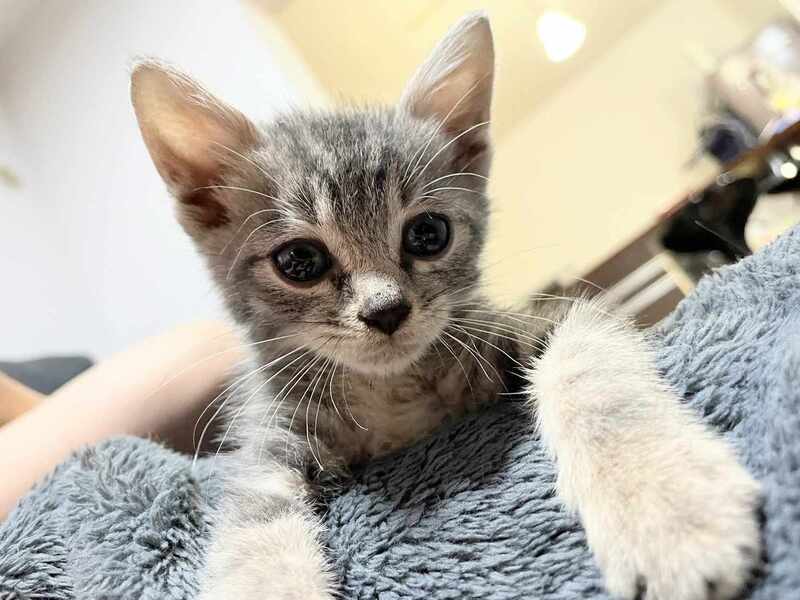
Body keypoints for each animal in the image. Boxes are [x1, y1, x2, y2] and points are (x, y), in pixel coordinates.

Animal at [131, 12, 761, 600]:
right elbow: (253, 526)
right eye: (300, 261)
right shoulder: (266, 443)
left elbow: (593, 379)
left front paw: (668, 511)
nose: (386, 310)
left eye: (428, 234)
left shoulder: (547, 318)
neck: (392, 398)